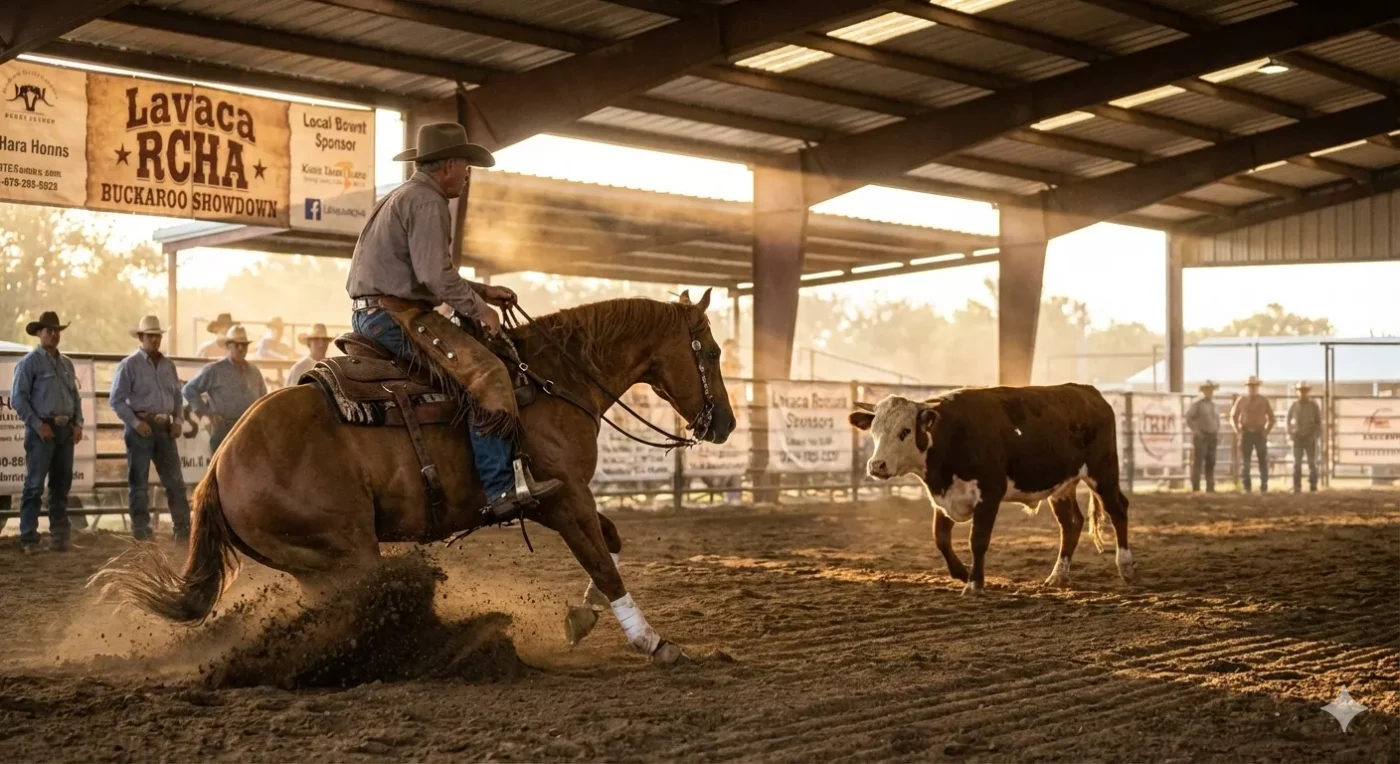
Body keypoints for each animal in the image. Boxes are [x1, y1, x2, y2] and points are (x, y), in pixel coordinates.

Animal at [92, 291, 737, 664]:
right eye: (710, 351)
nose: (726, 423)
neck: (552, 381)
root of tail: (220, 467)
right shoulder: (562, 497)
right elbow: (603, 561)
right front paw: (655, 642)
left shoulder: (557, 501)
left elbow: (611, 542)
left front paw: (581, 619)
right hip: (346, 550)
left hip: (315, 565)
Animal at [848, 384, 1134, 595]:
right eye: (873, 431)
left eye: (905, 431)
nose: (876, 465)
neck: (950, 435)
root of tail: (1089, 393)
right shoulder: (943, 496)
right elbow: (940, 539)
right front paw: (963, 573)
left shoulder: (989, 495)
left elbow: (978, 540)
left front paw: (975, 583)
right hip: (1062, 486)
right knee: (1071, 523)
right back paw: (1057, 576)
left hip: (1103, 472)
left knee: (1118, 510)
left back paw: (1125, 567)